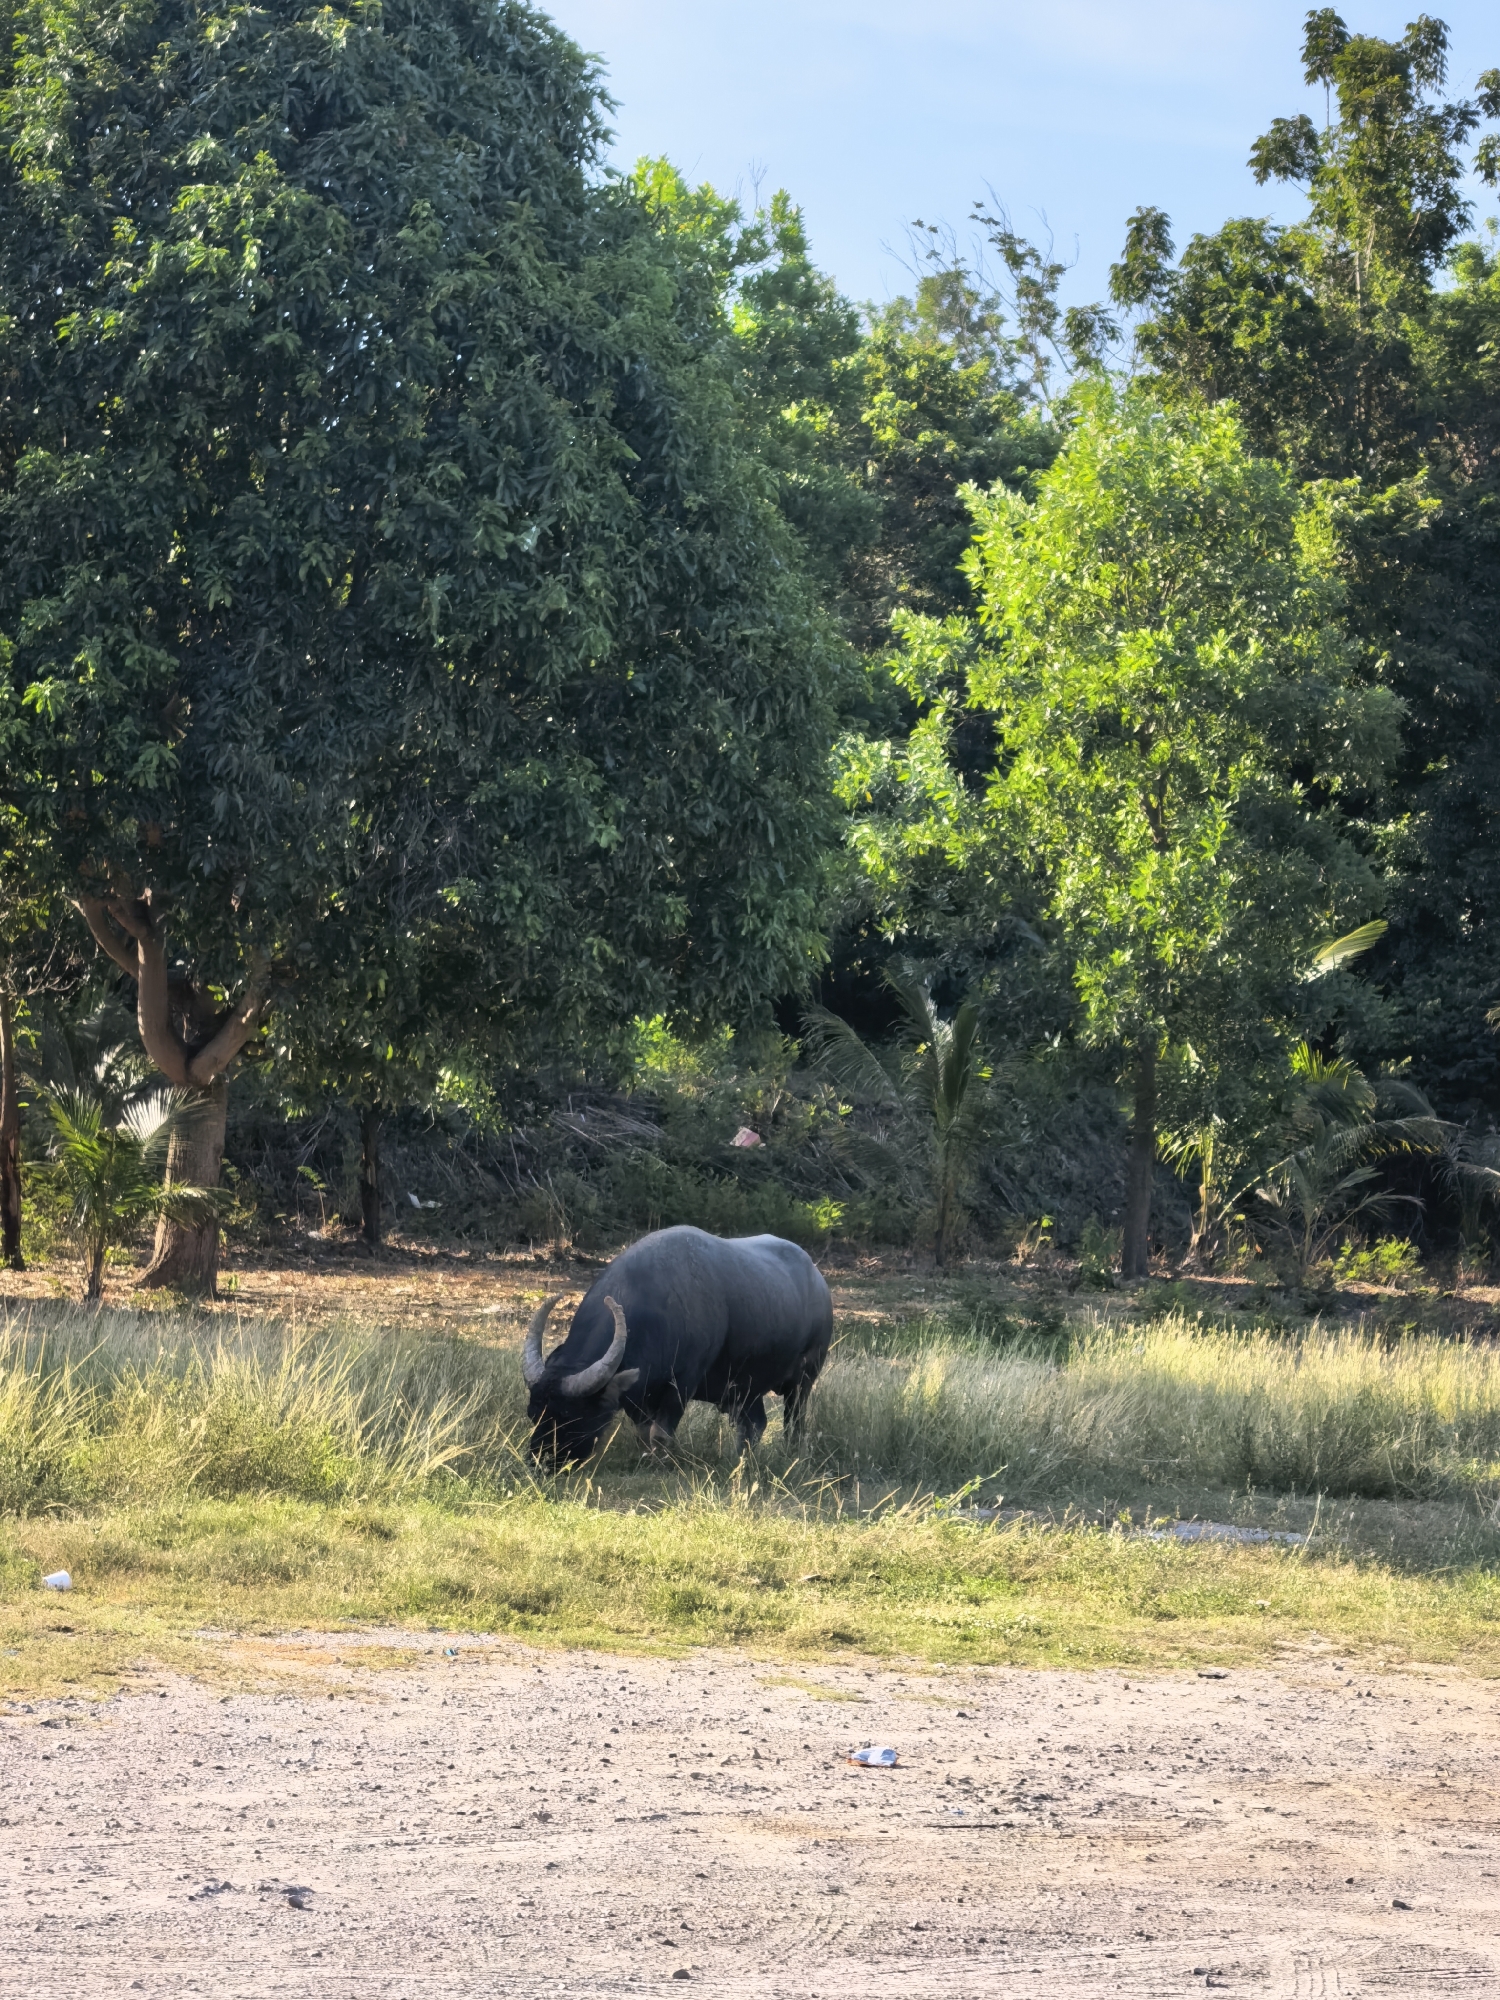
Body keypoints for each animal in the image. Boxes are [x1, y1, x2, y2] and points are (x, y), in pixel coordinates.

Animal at [520, 1225, 833, 1468]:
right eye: (533, 1414)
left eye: (569, 1416)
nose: (540, 1461)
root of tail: (819, 1281)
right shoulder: (639, 1396)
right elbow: (644, 1433)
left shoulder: (683, 1383)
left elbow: (660, 1434)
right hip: (746, 1389)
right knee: (754, 1425)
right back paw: (740, 1460)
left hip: (803, 1381)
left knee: (794, 1423)